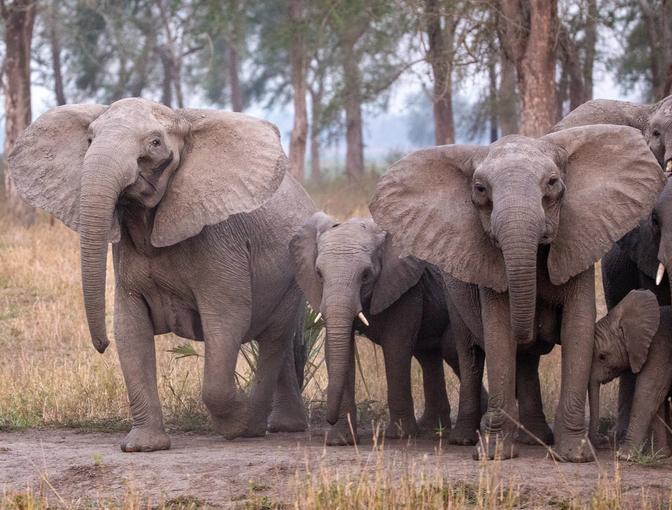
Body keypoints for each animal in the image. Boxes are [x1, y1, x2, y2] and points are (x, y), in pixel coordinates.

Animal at [7, 98, 316, 452]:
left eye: (155, 143)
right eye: (89, 139)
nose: (100, 345)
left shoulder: (221, 242)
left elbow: (227, 319)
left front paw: (239, 423)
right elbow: (130, 328)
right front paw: (143, 447)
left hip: (294, 275)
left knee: (274, 338)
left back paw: (257, 425)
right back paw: (282, 425)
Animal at [290, 212, 485, 445]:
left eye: (366, 275)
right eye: (319, 274)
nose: (328, 420)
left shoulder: (407, 286)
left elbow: (396, 347)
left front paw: (400, 435)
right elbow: (340, 349)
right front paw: (341, 441)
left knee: (449, 350)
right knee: (428, 355)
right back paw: (432, 427)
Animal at [588, 289, 672, 459]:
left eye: (602, 356)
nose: (604, 440)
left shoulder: (659, 346)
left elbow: (648, 393)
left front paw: (624, 455)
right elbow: (656, 398)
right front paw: (659, 454)